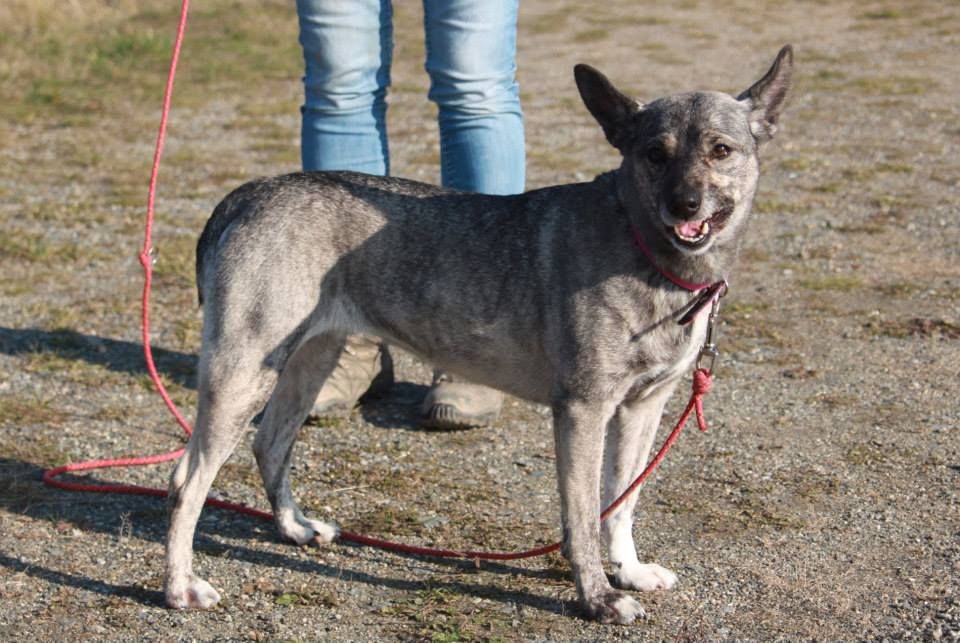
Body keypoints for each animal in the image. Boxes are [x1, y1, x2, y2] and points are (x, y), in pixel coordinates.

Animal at [165, 45, 796, 624]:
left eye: (721, 150)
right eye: (653, 154)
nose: (684, 204)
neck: (642, 245)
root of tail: (248, 196)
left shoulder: (643, 408)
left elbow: (622, 502)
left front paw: (630, 570)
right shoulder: (583, 411)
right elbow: (582, 520)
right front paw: (596, 597)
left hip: (308, 362)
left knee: (269, 444)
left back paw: (293, 528)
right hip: (242, 375)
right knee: (186, 481)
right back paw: (179, 587)